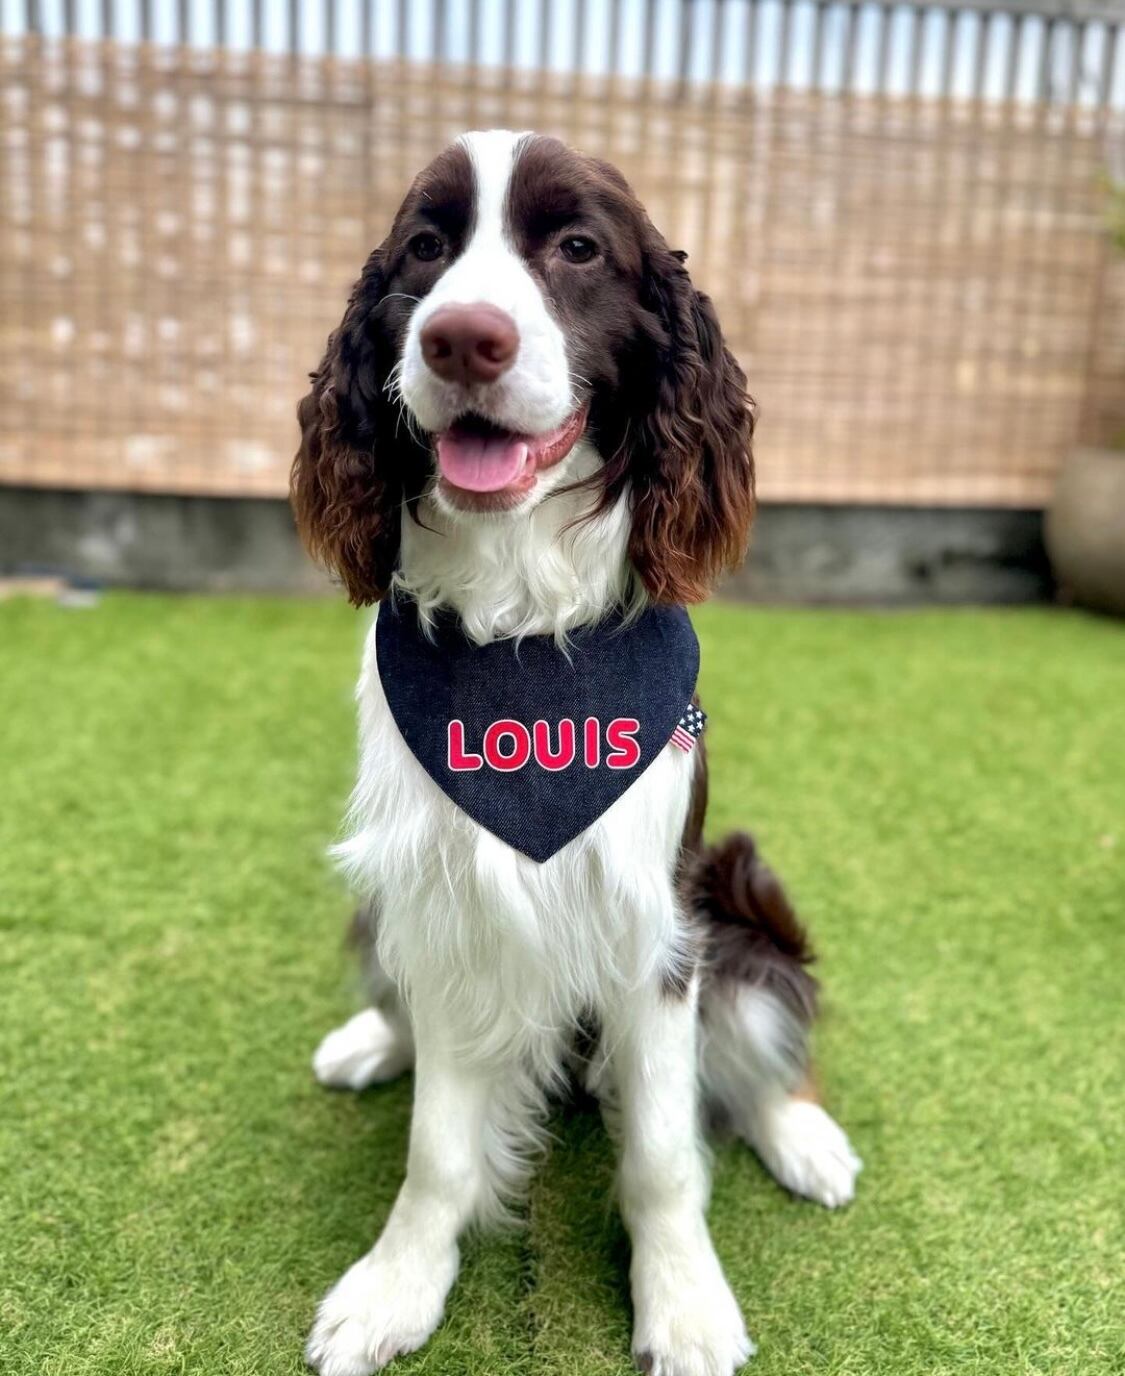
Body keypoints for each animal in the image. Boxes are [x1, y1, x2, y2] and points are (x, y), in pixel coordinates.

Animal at [291, 130, 860, 1376]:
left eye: (580, 248)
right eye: (426, 246)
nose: (462, 338)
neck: (520, 617)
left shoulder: (654, 916)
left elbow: (662, 1150)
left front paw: (684, 1302)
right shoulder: (445, 899)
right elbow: (439, 1149)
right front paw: (396, 1284)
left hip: (737, 898)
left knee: (758, 1036)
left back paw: (804, 1135)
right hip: (382, 903)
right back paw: (371, 1040)